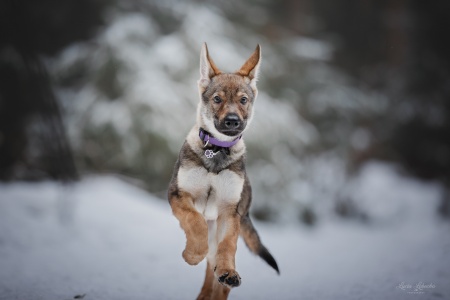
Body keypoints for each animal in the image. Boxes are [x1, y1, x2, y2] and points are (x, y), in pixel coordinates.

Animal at [168, 42, 278, 300]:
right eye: (217, 99)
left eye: (243, 100)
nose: (232, 121)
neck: (216, 151)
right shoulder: (179, 195)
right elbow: (195, 220)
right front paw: (192, 254)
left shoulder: (229, 211)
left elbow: (228, 247)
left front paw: (227, 270)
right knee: (209, 266)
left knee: (219, 274)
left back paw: (225, 278)